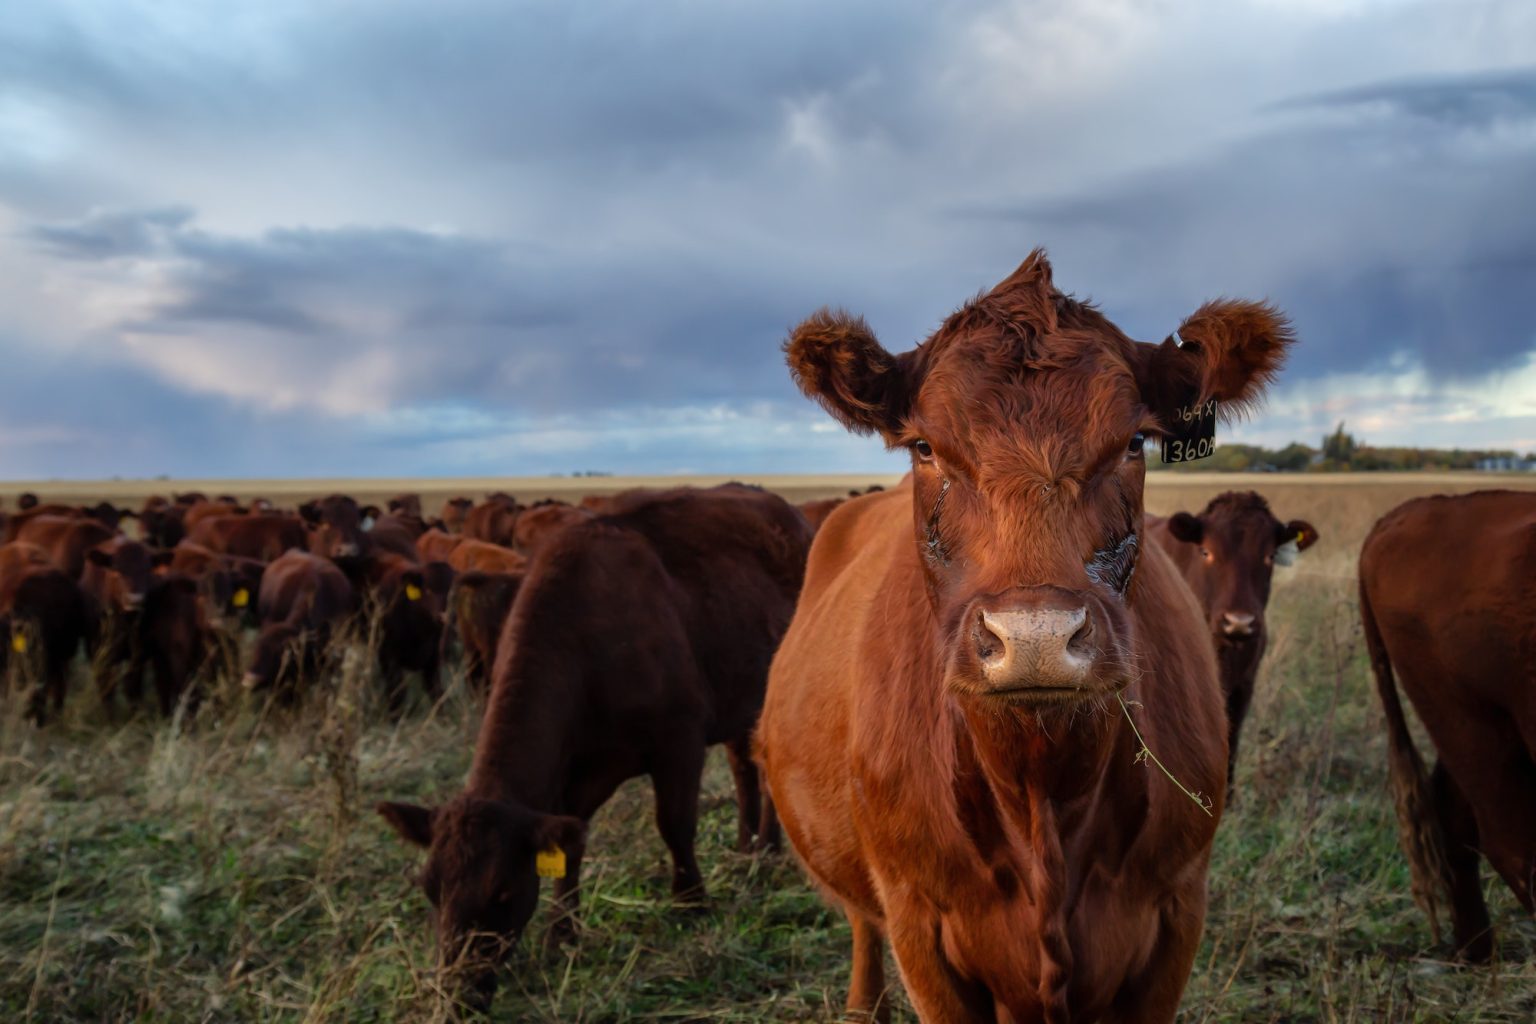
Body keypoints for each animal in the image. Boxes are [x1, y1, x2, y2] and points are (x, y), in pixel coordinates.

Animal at [380, 485, 817, 1007]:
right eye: (431, 889)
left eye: (501, 892)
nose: (458, 994)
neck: (587, 640)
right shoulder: (572, 778)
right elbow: (572, 846)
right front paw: (561, 933)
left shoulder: (679, 740)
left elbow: (675, 824)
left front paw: (690, 902)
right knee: (744, 768)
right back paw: (750, 846)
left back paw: (767, 849)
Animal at [755, 250, 1284, 1024]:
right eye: (924, 447)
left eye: (1134, 442)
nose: (1035, 635)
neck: (1042, 791)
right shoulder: (920, 926)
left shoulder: (1177, 912)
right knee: (860, 923)